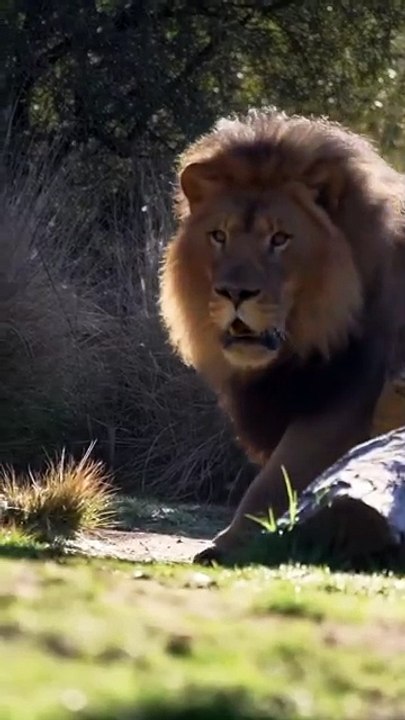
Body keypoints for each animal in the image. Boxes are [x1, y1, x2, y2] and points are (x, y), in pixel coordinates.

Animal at [159, 108, 405, 564]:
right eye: (218, 235)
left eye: (279, 238)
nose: (235, 293)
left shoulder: (343, 401)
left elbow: (275, 479)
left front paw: (230, 543)